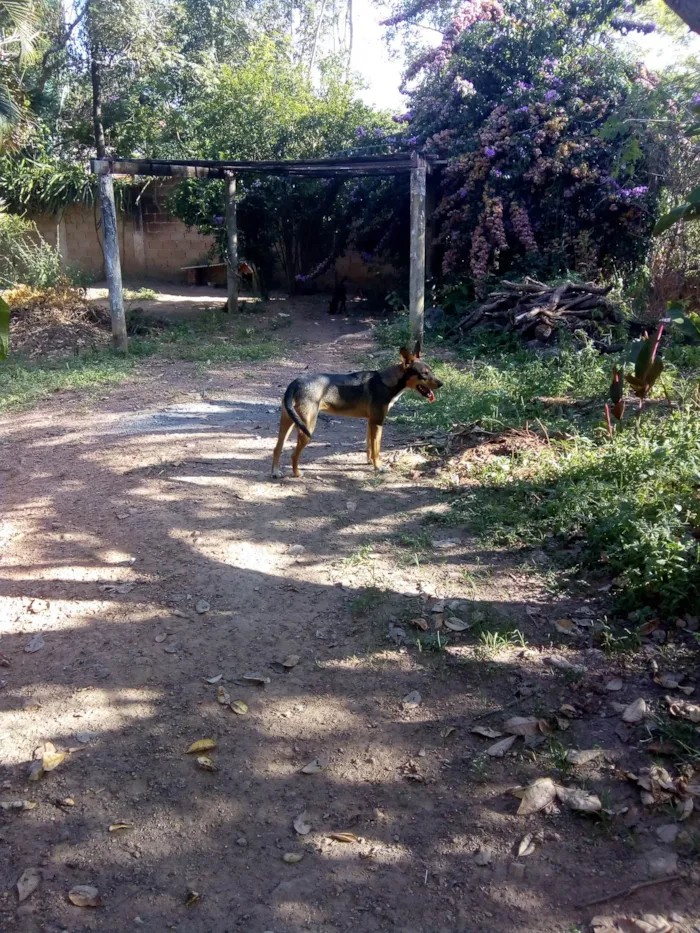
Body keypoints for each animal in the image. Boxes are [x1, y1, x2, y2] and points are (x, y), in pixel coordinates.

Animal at [272, 342, 442, 476]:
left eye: (431, 371)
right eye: (424, 374)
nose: (442, 384)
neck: (387, 381)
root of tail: (295, 383)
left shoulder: (370, 422)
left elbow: (370, 448)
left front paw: (370, 463)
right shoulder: (378, 423)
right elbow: (377, 449)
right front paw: (379, 467)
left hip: (288, 423)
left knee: (277, 448)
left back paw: (276, 472)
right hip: (307, 427)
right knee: (293, 455)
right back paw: (297, 473)